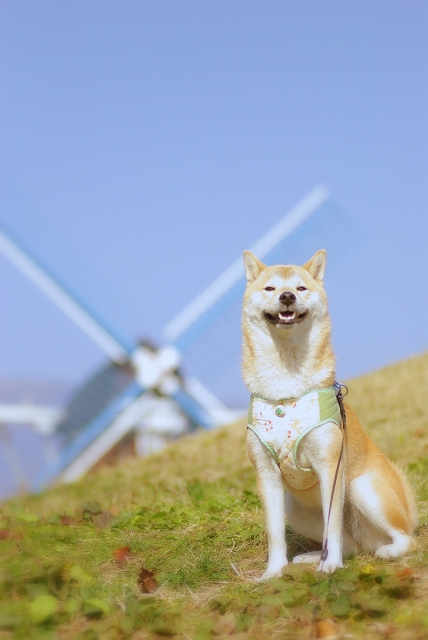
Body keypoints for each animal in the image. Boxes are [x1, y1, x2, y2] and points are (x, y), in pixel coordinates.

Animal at [242, 249, 417, 578]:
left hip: (362, 488)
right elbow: (275, 534)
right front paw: (274, 573)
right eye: (270, 288)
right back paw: (313, 557)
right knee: (352, 545)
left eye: (300, 288)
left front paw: (331, 566)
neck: (285, 392)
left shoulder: (329, 465)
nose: (286, 296)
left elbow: (332, 528)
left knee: (404, 537)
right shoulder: (266, 474)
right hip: (295, 508)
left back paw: (387, 551)